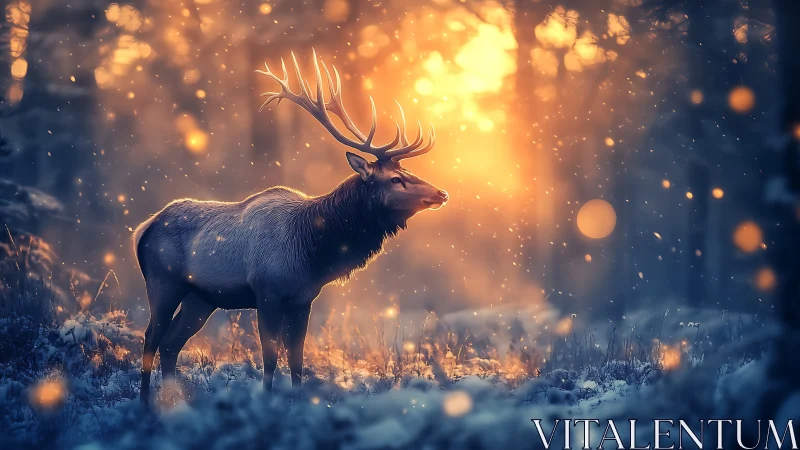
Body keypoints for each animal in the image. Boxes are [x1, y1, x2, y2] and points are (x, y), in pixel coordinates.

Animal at [134, 51, 448, 403]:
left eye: (408, 171)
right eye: (395, 179)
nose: (441, 193)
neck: (312, 253)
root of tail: (143, 229)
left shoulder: (302, 299)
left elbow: (297, 358)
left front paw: (296, 401)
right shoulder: (266, 292)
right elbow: (270, 356)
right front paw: (268, 401)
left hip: (201, 298)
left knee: (171, 344)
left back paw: (172, 402)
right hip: (163, 282)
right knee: (151, 338)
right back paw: (145, 403)